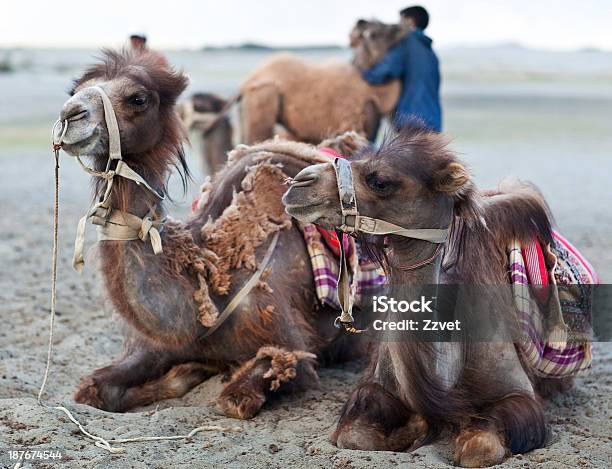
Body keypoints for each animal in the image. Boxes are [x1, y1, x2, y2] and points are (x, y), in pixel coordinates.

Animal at [53, 50, 372, 416]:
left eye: (138, 98)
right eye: (75, 90)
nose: (69, 115)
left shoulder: (290, 347)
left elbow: (234, 400)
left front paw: (196, 371)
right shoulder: (156, 346)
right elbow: (91, 389)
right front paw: (190, 369)